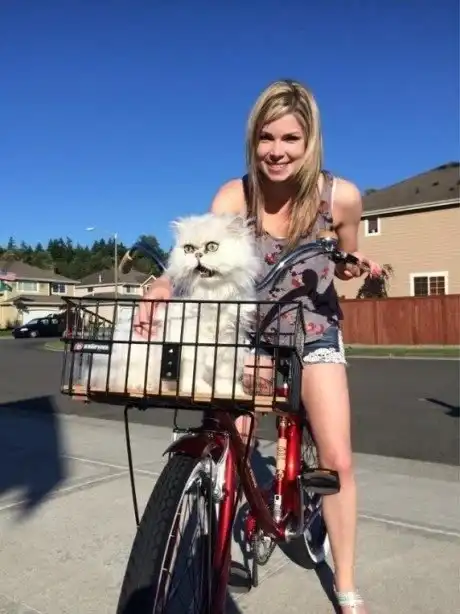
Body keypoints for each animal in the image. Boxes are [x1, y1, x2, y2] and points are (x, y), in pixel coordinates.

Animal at [83, 212, 261, 397]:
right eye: (188, 249)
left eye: (212, 247)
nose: (197, 254)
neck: (211, 296)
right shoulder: (189, 341)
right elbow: (193, 370)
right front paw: (199, 389)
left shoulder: (230, 341)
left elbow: (225, 373)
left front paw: (230, 392)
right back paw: (142, 386)